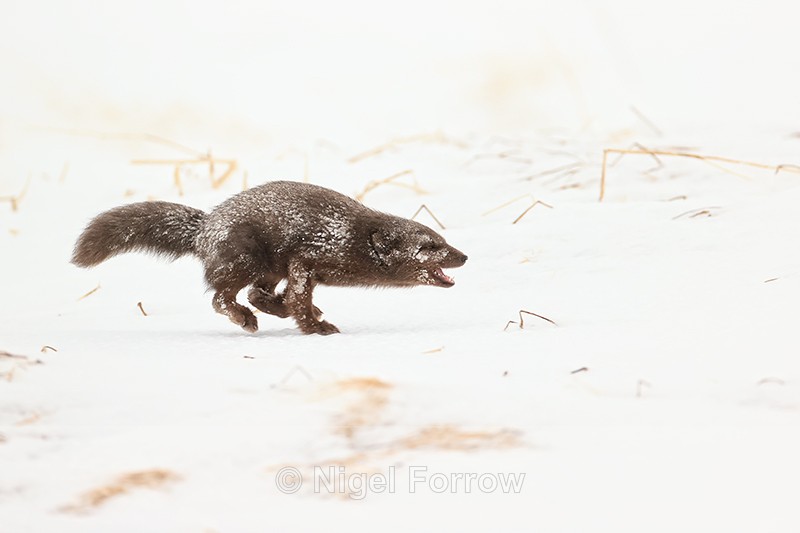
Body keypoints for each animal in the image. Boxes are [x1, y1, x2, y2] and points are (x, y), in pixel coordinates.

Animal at [72, 180, 468, 335]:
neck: (349, 237)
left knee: (254, 293)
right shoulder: (307, 259)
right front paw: (316, 329)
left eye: (442, 240)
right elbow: (299, 297)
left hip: (267, 267)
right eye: (430, 246)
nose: (463, 256)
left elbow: (293, 298)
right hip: (244, 259)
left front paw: (311, 317)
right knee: (222, 297)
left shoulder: (295, 267)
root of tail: (206, 226)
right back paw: (246, 320)